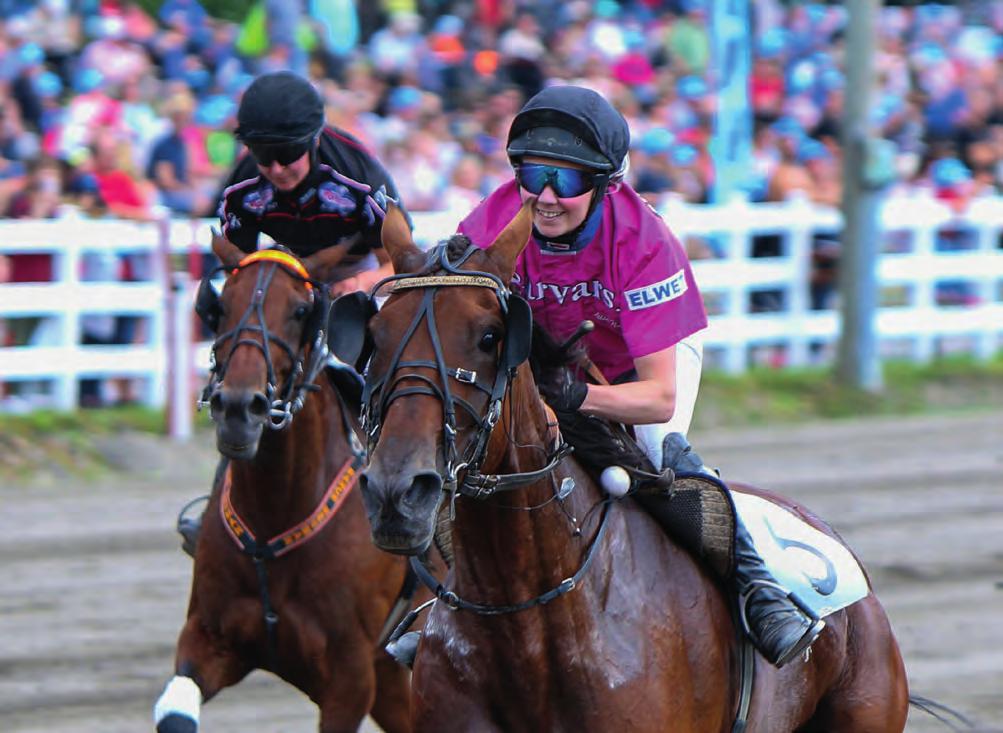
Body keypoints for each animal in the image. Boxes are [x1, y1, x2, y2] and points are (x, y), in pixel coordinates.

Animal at [153, 237, 415, 729]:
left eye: (300, 310)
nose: (239, 407)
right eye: (221, 306)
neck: (275, 514)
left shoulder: (351, 677)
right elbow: (176, 710)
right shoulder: (208, 639)